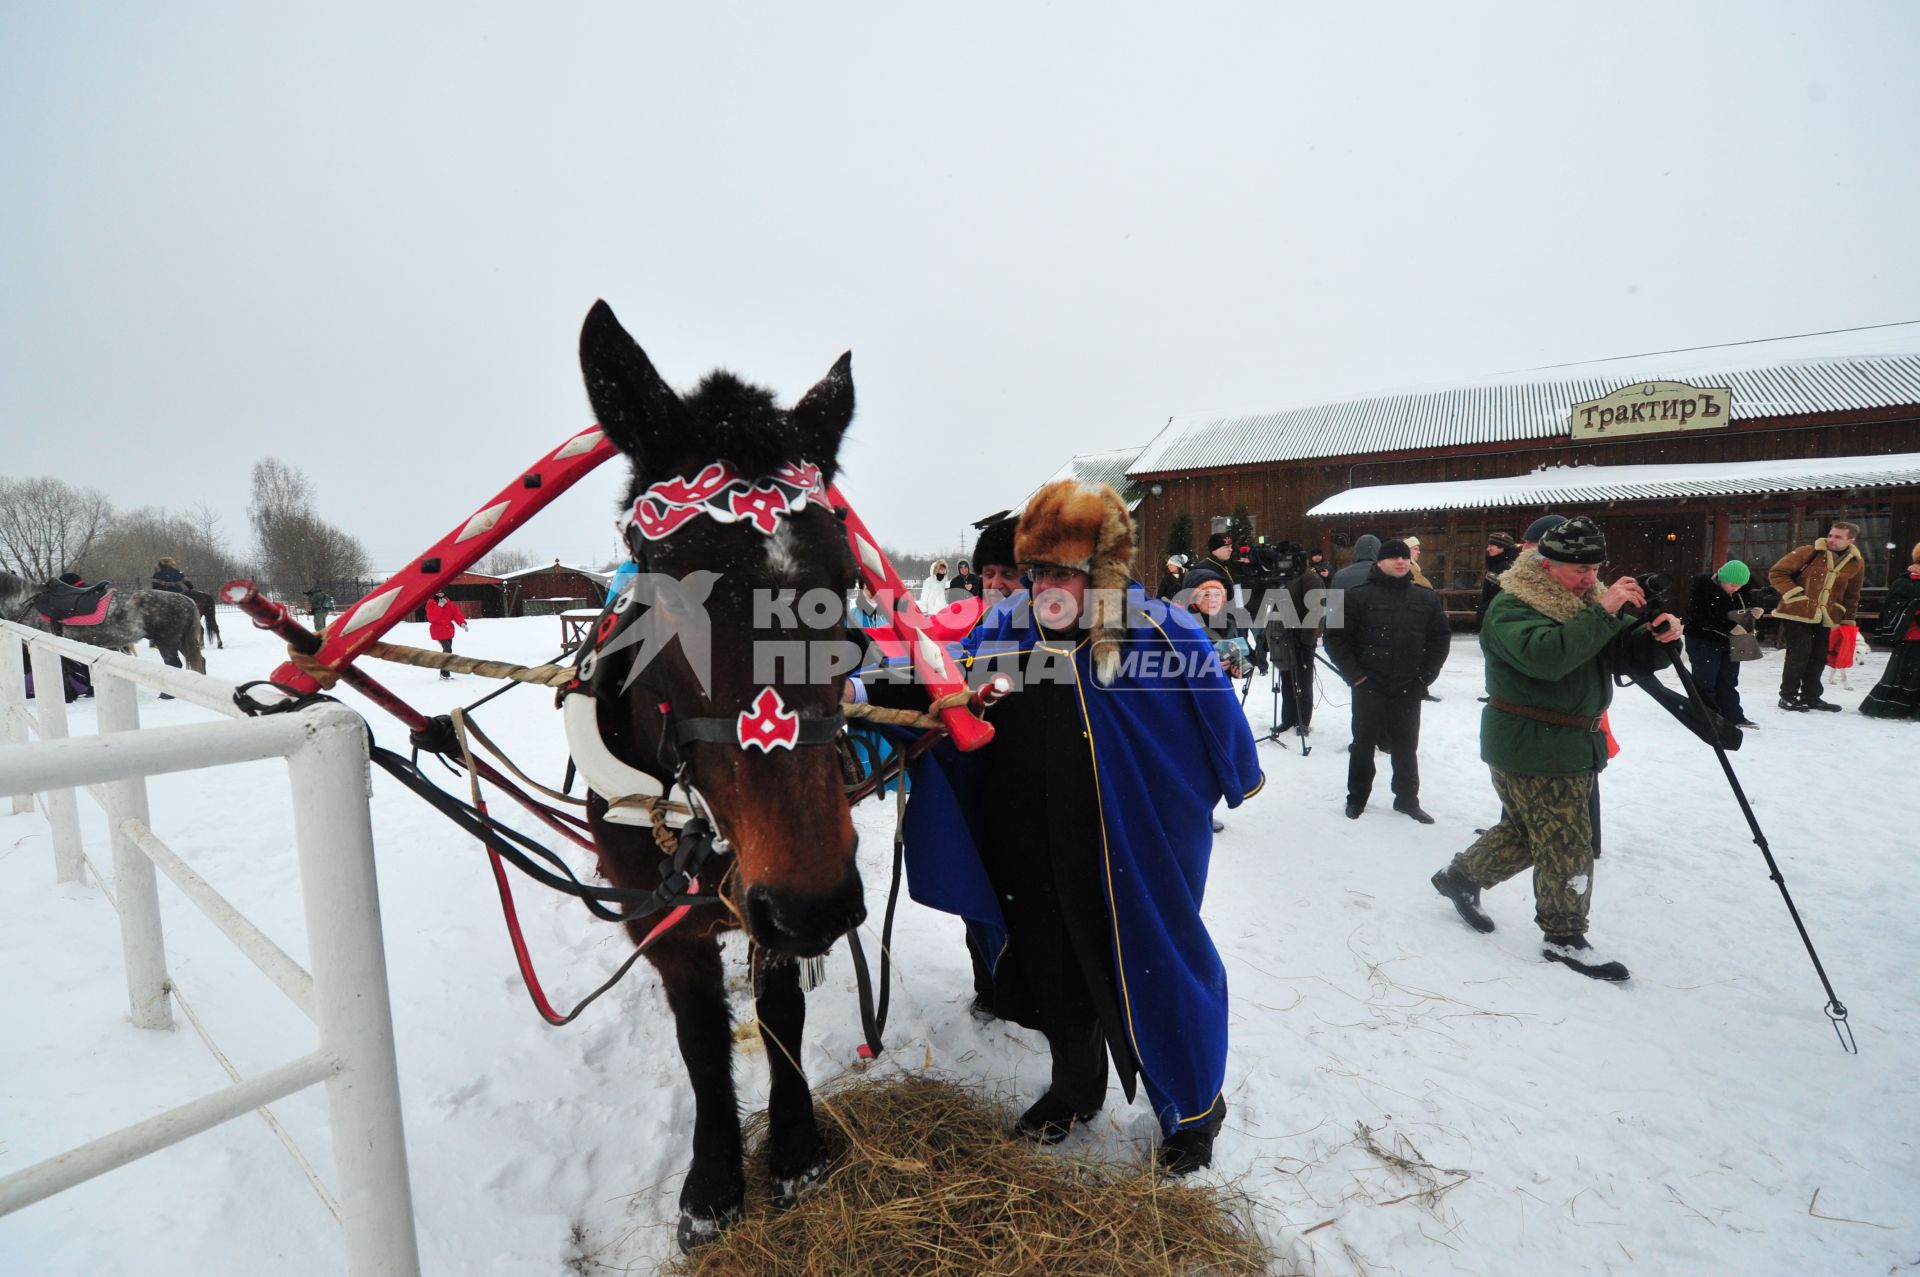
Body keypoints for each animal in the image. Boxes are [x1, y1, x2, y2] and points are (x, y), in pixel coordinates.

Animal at [0, 568, 205, 672]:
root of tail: (187, 600)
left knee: (174, 665)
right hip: (180, 641)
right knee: (199, 662)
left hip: (167, 641)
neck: (25, 600)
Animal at [572, 299, 867, 1244]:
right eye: (668, 589)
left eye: (846, 581)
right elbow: (702, 1037)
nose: (816, 903)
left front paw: (797, 1149)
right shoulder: (669, 923)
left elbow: (782, 1016)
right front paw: (712, 1182)